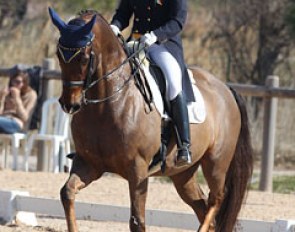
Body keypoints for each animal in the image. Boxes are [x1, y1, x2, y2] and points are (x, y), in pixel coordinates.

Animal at [49, 8, 254, 231]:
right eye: (59, 54)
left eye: (85, 58)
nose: (69, 104)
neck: (107, 104)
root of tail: (226, 88)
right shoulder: (88, 164)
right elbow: (67, 193)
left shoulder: (138, 171)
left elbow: (137, 221)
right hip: (182, 173)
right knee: (202, 205)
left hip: (216, 163)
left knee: (216, 199)